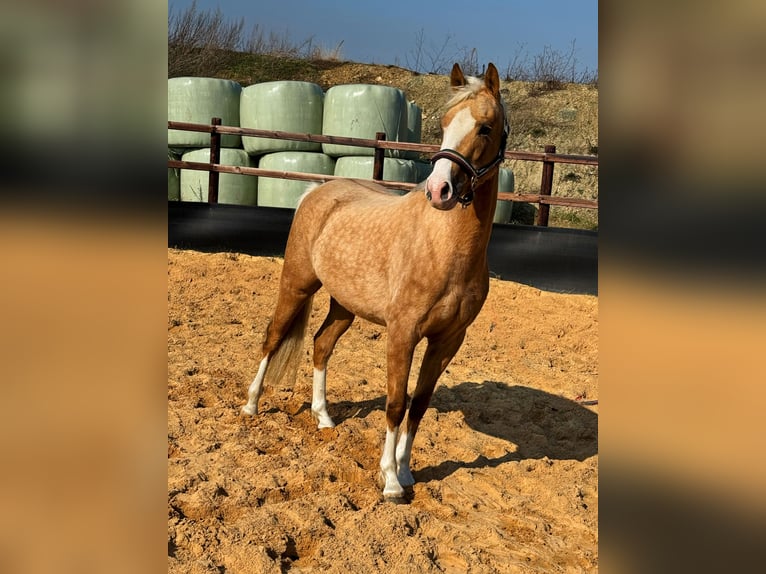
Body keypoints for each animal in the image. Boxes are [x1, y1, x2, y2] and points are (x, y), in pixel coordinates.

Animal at [244, 64, 510, 504]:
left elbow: (419, 404)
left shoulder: (447, 340)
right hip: (297, 286)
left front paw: (405, 471)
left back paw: (323, 417)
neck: (444, 247)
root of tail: (318, 190)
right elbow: (396, 404)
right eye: (444, 124)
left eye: (486, 127)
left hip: (343, 306)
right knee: (272, 337)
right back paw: (250, 405)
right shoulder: (403, 334)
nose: (439, 190)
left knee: (321, 345)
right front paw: (389, 481)